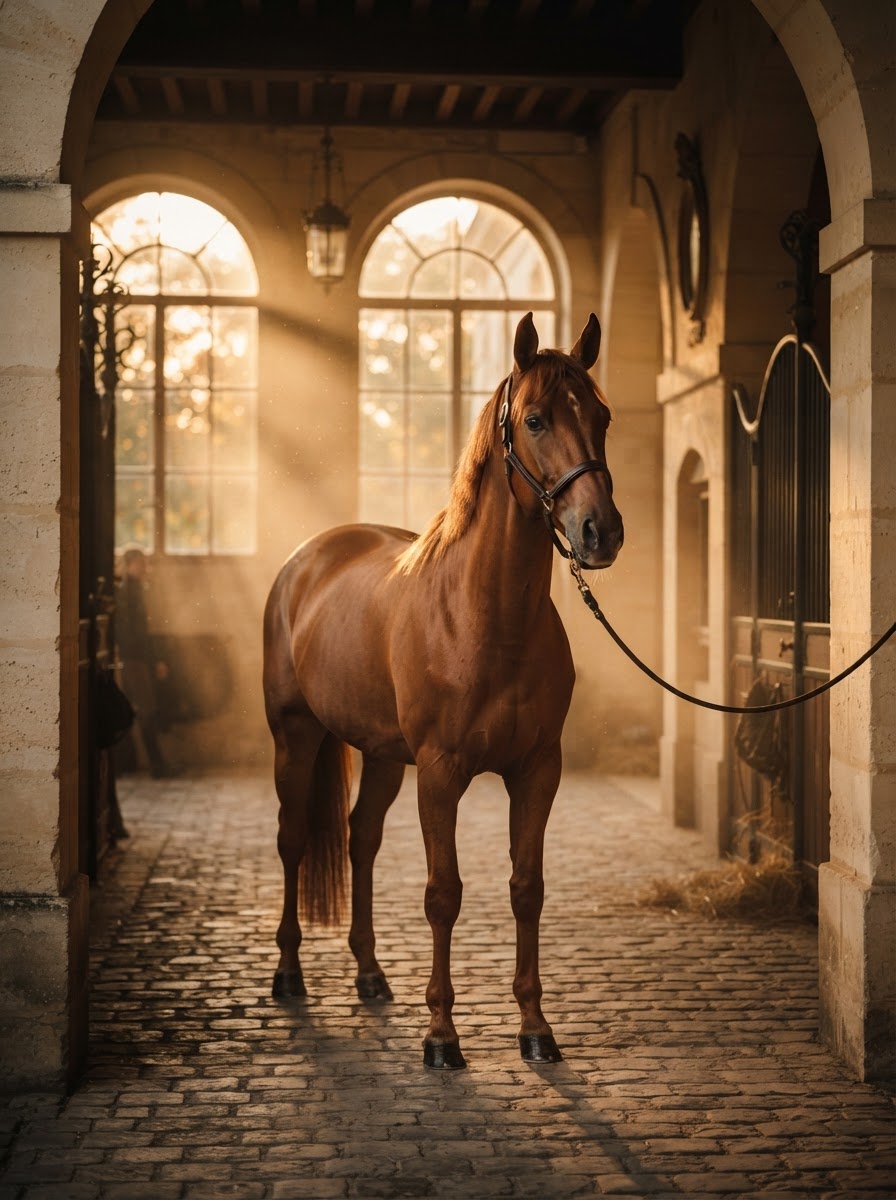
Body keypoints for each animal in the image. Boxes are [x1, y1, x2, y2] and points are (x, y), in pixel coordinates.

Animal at [263, 312, 624, 1069]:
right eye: (536, 419)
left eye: (602, 417)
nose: (600, 531)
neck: (487, 618)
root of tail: (305, 559)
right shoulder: (440, 772)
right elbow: (443, 894)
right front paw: (441, 1036)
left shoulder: (537, 770)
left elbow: (526, 888)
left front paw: (536, 1029)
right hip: (296, 736)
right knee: (292, 838)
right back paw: (288, 973)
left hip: (379, 755)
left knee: (361, 839)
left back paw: (371, 975)